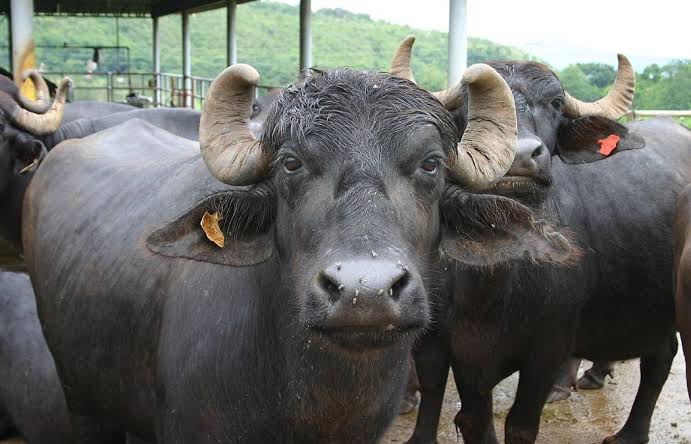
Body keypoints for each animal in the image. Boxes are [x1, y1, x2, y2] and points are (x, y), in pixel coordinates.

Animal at [393, 37, 691, 444]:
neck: (494, 281)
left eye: (555, 103)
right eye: (471, 105)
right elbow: (472, 419)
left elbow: (520, 424)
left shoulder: (547, 350)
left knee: (661, 358)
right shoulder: (453, 350)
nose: (520, 156)